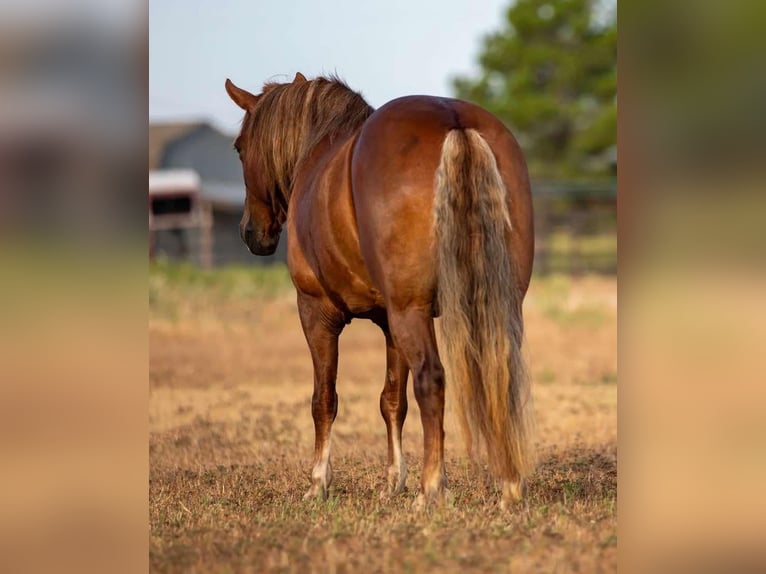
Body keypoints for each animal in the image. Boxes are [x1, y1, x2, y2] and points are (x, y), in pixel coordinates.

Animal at [228, 72, 536, 508]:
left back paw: (430, 489)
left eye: (239, 148)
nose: (251, 233)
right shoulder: (390, 323)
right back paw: (509, 486)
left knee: (432, 381)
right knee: (500, 376)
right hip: (498, 305)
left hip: (412, 312)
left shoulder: (317, 313)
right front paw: (393, 480)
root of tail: (455, 123)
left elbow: (324, 400)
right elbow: (392, 400)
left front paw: (318, 483)